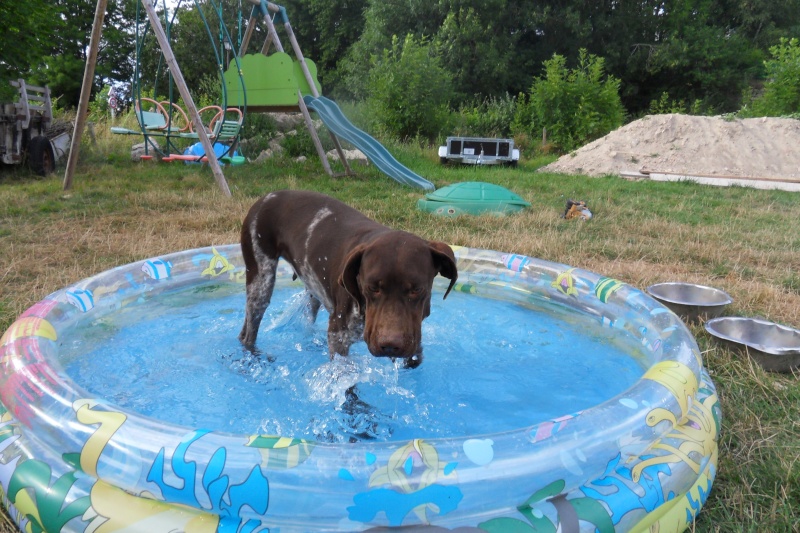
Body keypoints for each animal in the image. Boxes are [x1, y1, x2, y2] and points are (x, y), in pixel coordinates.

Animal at [239, 189, 456, 368]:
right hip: (260, 283)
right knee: (247, 334)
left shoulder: (413, 336)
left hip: (311, 291)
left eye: (417, 289)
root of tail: (267, 196)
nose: (389, 345)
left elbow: (414, 357)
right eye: (371, 288)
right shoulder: (339, 337)